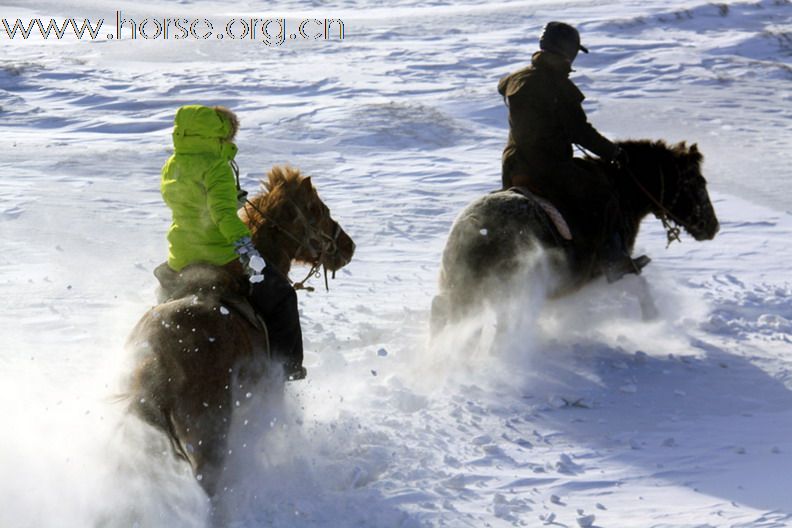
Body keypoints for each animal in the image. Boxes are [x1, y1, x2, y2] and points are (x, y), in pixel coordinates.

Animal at [430, 139, 720, 330]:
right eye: (698, 183)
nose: (713, 227)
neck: (622, 190)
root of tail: (476, 228)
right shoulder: (612, 269)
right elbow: (640, 284)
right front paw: (653, 318)